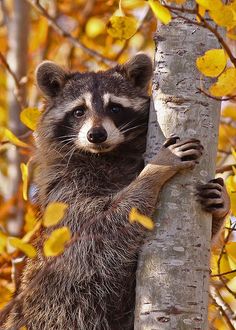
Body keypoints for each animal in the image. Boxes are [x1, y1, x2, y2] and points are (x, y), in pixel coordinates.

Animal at [2, 54, 230, 330]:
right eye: (79, 111)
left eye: (114, 108)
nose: (96, 135)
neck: (107, 156)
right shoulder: (66, 194)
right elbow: (103, 227)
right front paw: (155, 170)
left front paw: (222, 206)